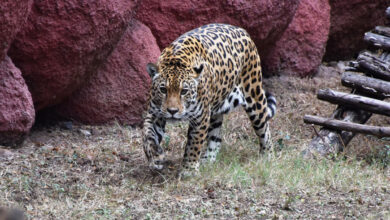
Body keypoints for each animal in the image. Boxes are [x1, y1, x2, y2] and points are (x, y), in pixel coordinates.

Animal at [142, 23, 276, 176]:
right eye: (163, 90)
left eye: (184, 91)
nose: (172, 111)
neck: (176, 59)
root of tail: (241, 30)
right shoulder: (154, 113)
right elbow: (147, 133)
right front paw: (155, 156)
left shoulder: (200, 118)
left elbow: (194, 144)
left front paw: (189, 170)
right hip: (215, 110)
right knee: (216, 137)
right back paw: (208, 160)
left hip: (255, 97)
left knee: (264, 129)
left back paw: (268, 157)